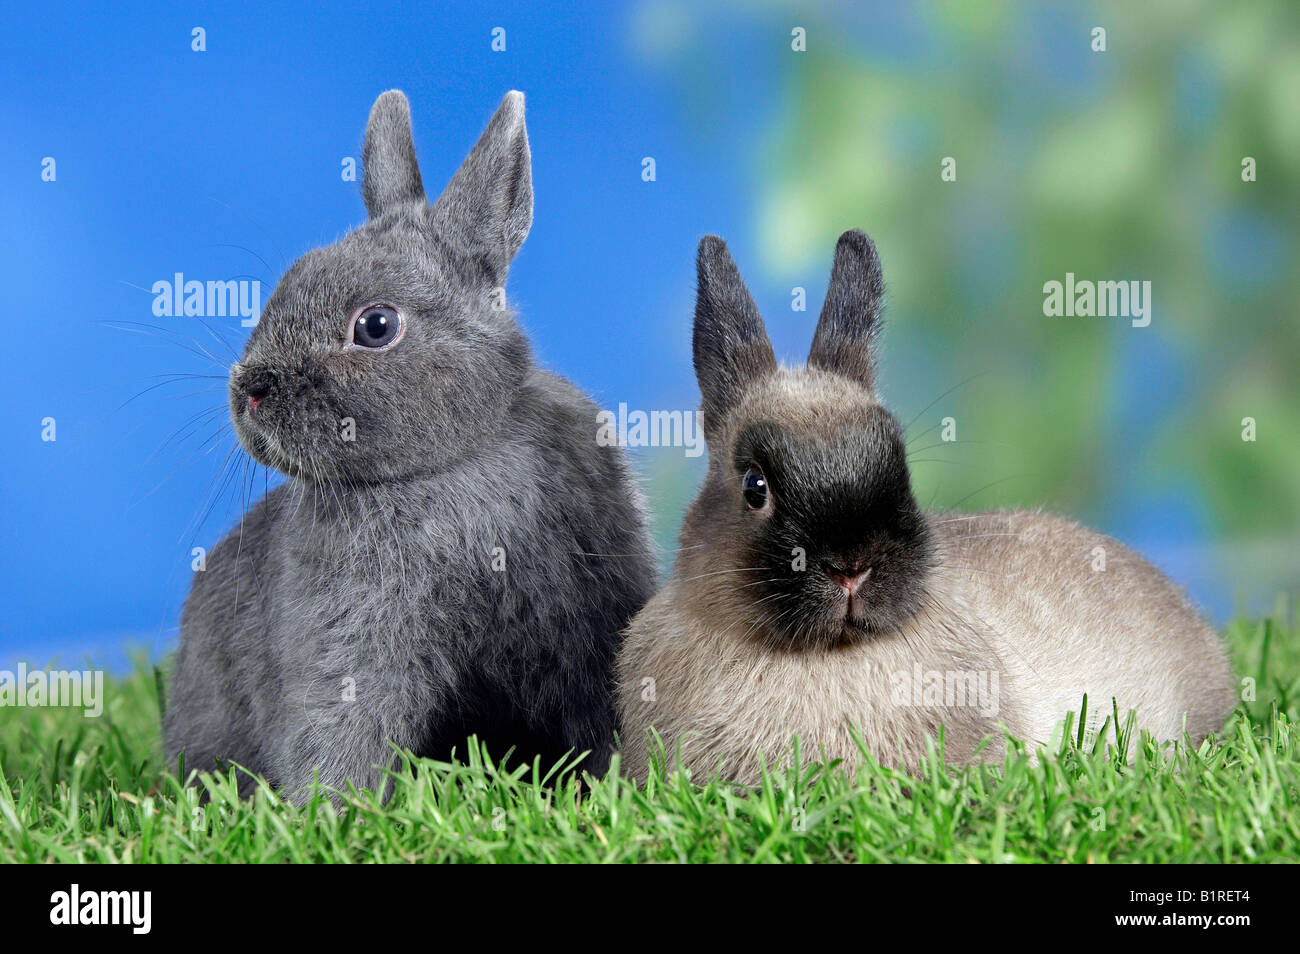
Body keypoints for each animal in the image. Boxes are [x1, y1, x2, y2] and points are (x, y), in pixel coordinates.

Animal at [164, 90, 657, 799]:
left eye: (376, 326)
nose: (249, 391)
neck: (454, 461)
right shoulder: (353, 650)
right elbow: (343, 734)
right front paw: (330, 812)